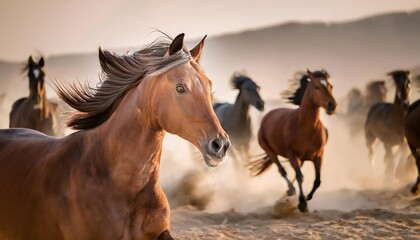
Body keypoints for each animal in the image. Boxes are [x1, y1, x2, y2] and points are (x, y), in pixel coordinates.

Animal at [249, 70, 338, 212]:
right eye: (317, 87)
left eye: (330, 86)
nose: (332, 105)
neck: (306, 127)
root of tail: (267, 116)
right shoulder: (292, 154)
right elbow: (300, 176)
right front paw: (302, 203)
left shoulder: (318, 156)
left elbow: (317, 181)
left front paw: (307, 197)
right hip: (270, 151)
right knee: (283, 171)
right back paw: (290, 191)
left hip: (301, 159)